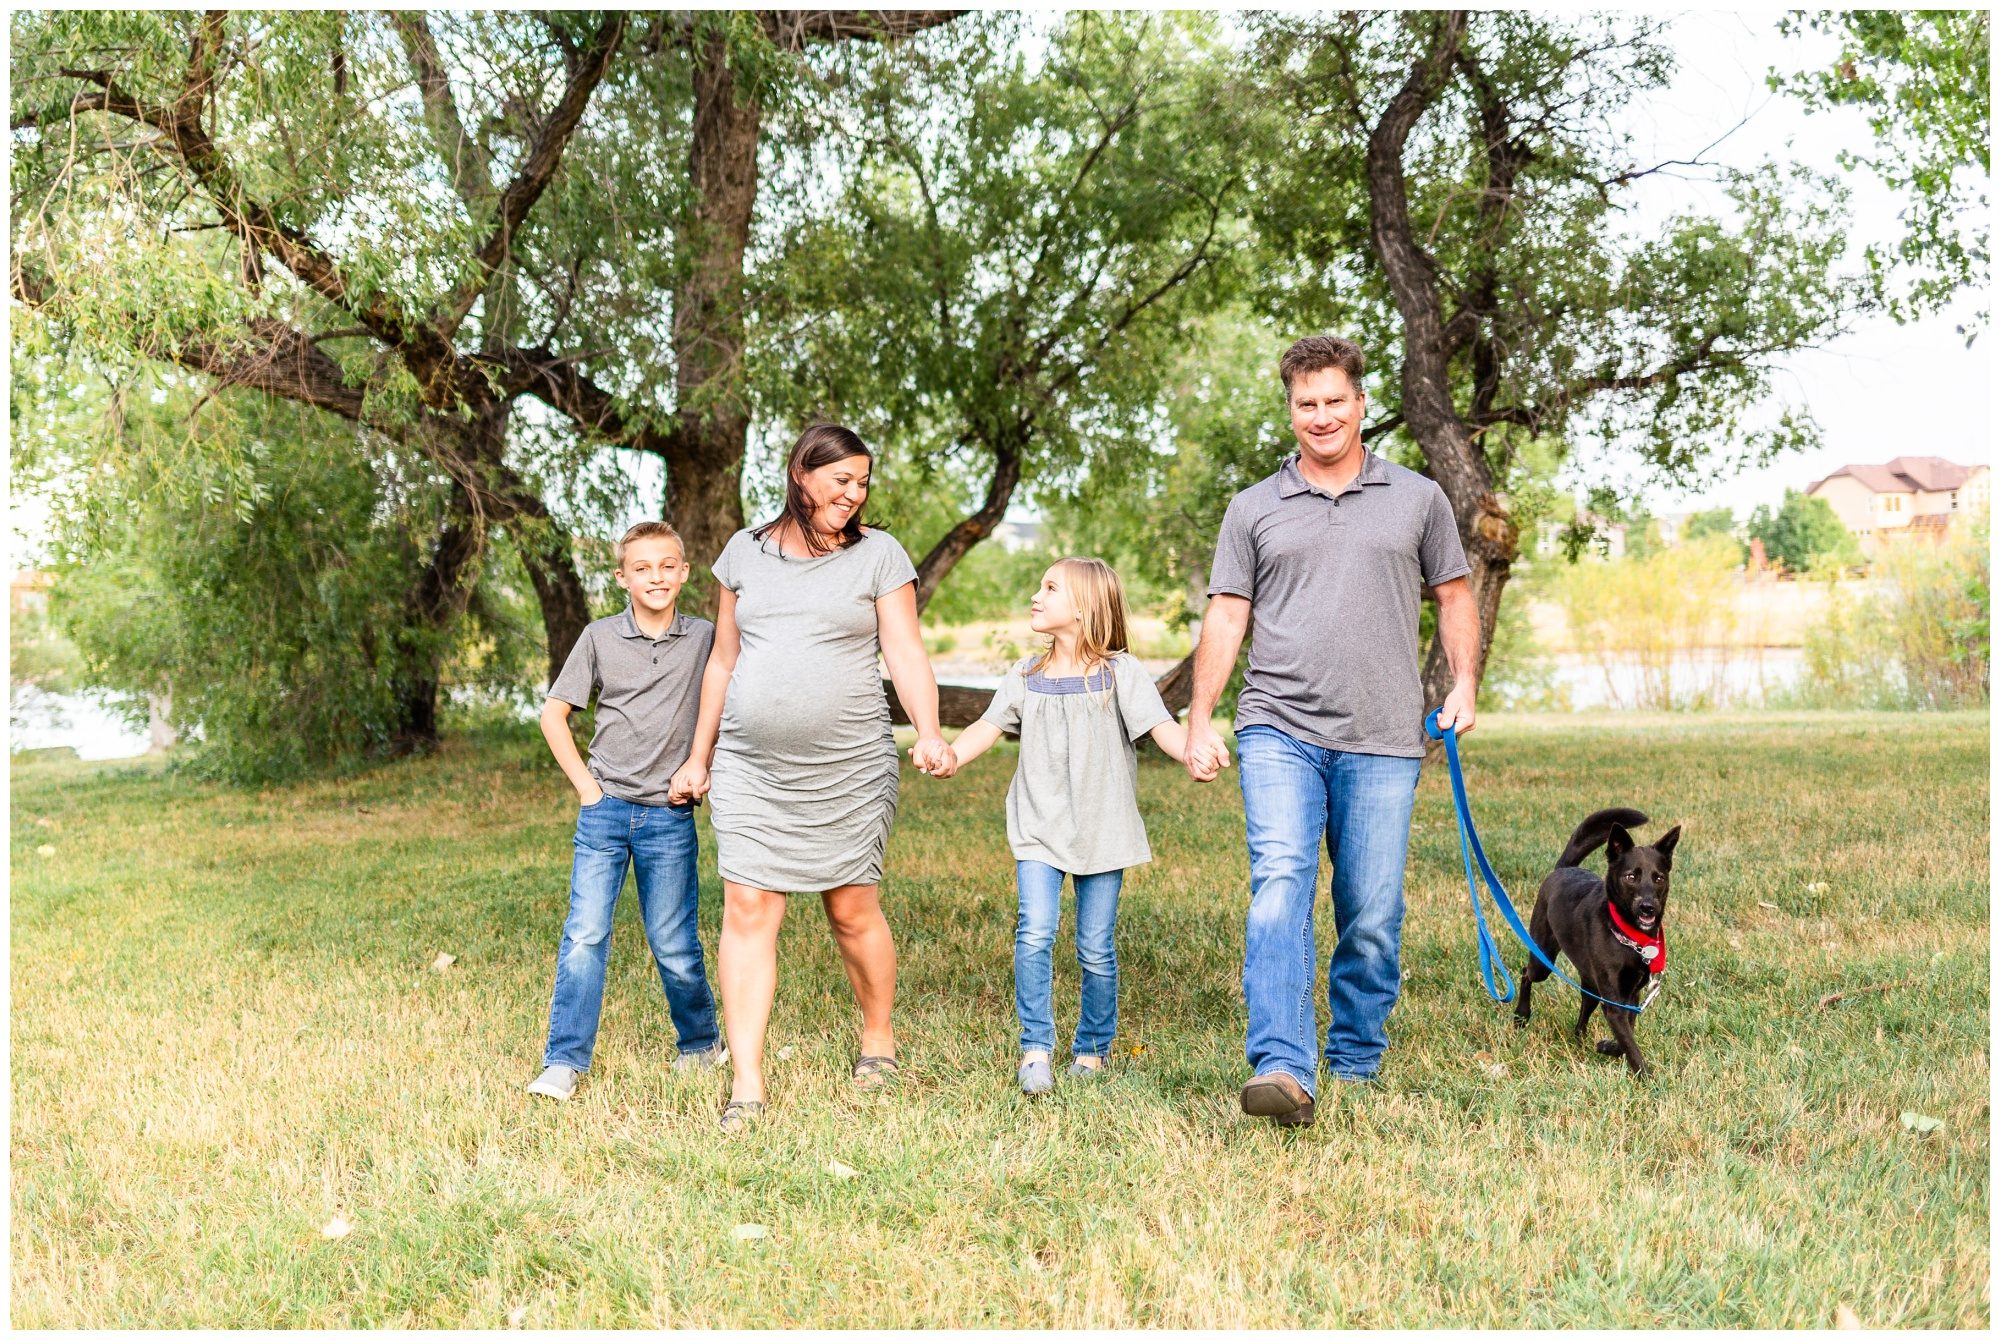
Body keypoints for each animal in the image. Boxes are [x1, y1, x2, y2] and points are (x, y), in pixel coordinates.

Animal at [1512, 808, 1688, 1080]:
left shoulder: (1631, 997)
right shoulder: (1614, 1002)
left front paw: (1607, 1047)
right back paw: (1522, 1014)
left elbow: (1626, 1036)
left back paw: (1579, 1037)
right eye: (1631, 877)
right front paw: (1646, 1078)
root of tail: (1564, 869)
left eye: (1658, 878)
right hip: (1543, 957)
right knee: (1526, 973)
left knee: (1585, 1006)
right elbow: (1629, 1043)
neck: (1628, 938)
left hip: (1591, 983)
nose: (1648, 907)